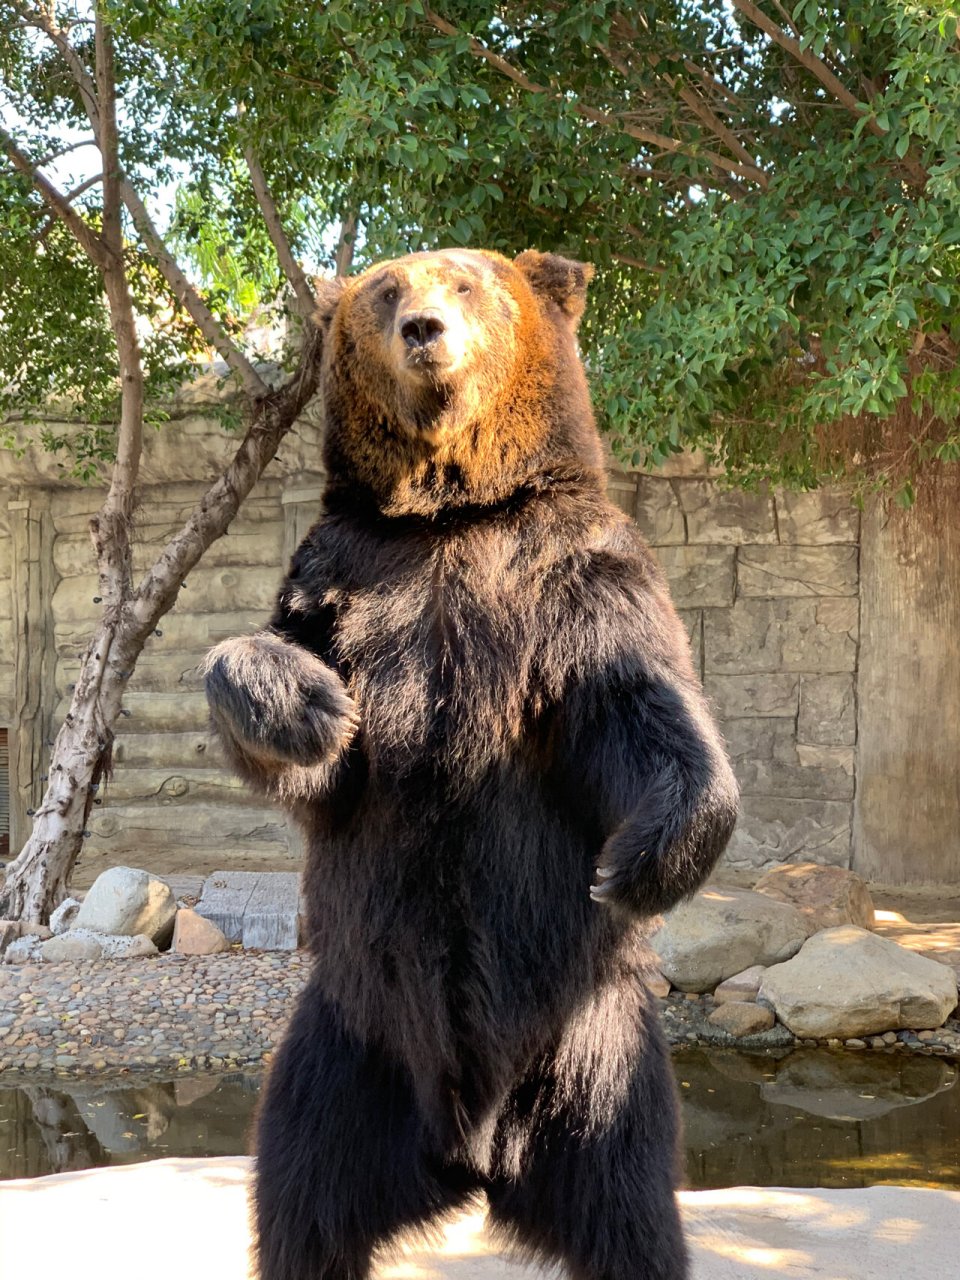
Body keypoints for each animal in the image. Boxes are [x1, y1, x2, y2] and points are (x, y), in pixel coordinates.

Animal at [207, 241, 742, 1280]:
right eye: (385, 291)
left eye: (463, 281)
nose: (424, 329)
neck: (451, 514)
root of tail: (472, 1154)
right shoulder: (346, 570)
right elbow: (308, 717)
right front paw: (307, 705)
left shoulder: (570, 569)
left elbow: (636, 702)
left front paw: (637, 860)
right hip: (349, 1039)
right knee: (300, 1189)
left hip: (593, 1049)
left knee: (631, 1206)